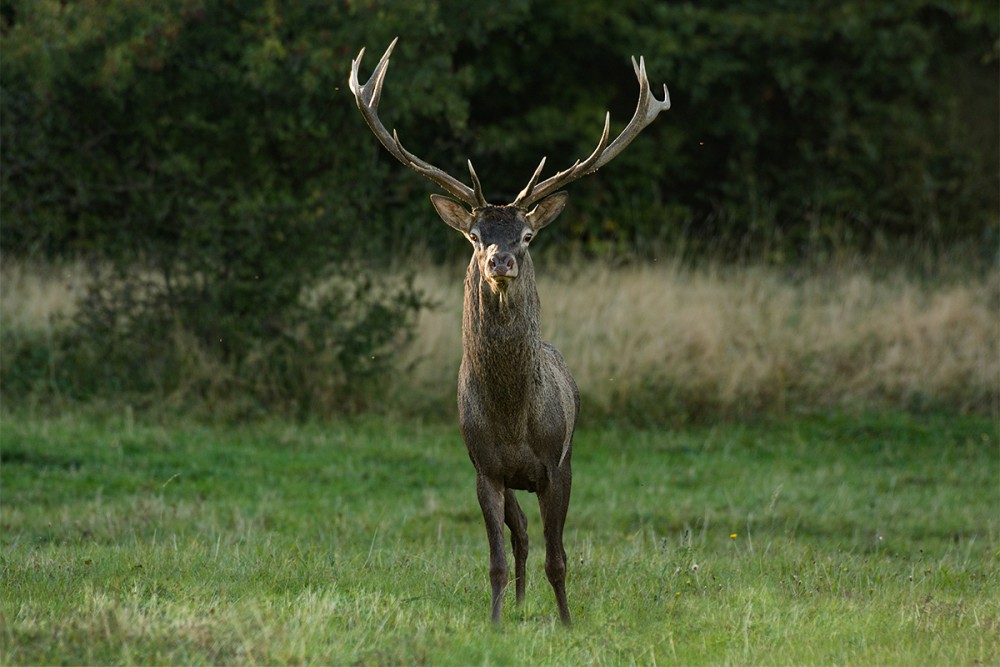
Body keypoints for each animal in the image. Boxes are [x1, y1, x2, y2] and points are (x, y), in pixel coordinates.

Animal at [348, 39, 668, 628]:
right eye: (475, 235)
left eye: (527, 234)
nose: (500, 260)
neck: (513, 417)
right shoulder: (484, 468)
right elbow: (498, 556)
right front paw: (497, 622)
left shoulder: (556, 466)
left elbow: (559, 557)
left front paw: (566, 623)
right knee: (518, 535)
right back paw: (518, 605)